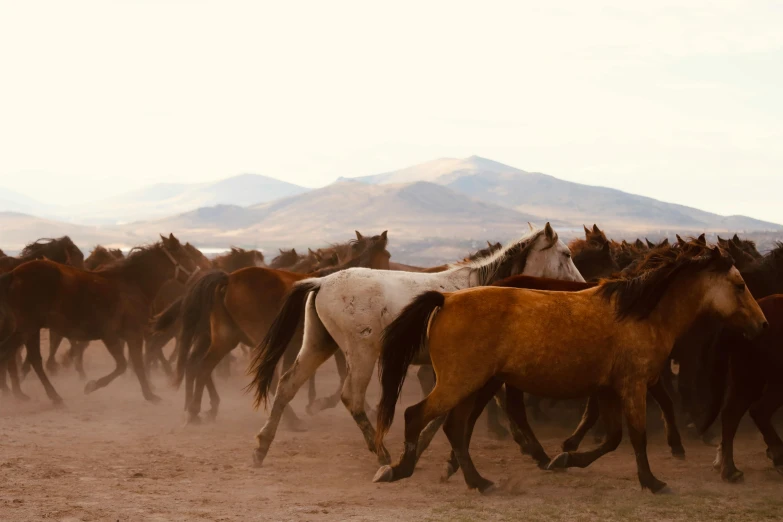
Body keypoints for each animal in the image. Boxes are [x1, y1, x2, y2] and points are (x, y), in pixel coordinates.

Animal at [0, 234, 199, 404]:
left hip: (30, 330)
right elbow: (125, 365)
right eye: (184, 255)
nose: (198, 277)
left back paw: (51, 396)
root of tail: (14, 274)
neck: (132, 285)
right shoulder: (118, 335)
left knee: (31, 359)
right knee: (13, 354)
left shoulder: (128, 335)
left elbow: (136, 364)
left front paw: (149, 393)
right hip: (27, 328)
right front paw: (92, 385)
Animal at [248, 221, 584, 466]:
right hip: (361, 354)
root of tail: (321, 282)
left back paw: (262, 447)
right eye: (566, 255)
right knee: (351, 398)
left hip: (318, 345)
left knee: (287, 385)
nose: (582, 287)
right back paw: (380, 453)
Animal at [376, 247, 768, 492]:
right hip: (461, 382)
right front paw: (654, 482)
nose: (763, 325)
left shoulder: (609, 389)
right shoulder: (633, 384)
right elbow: (636, 435)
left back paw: (479, 480)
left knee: (457, 428)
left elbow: (612, 438)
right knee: (417, 415)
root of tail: (445, 300)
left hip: (477, 384)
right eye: (739, 285)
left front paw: (565, 458)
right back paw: (399, 469)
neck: (640, 313)